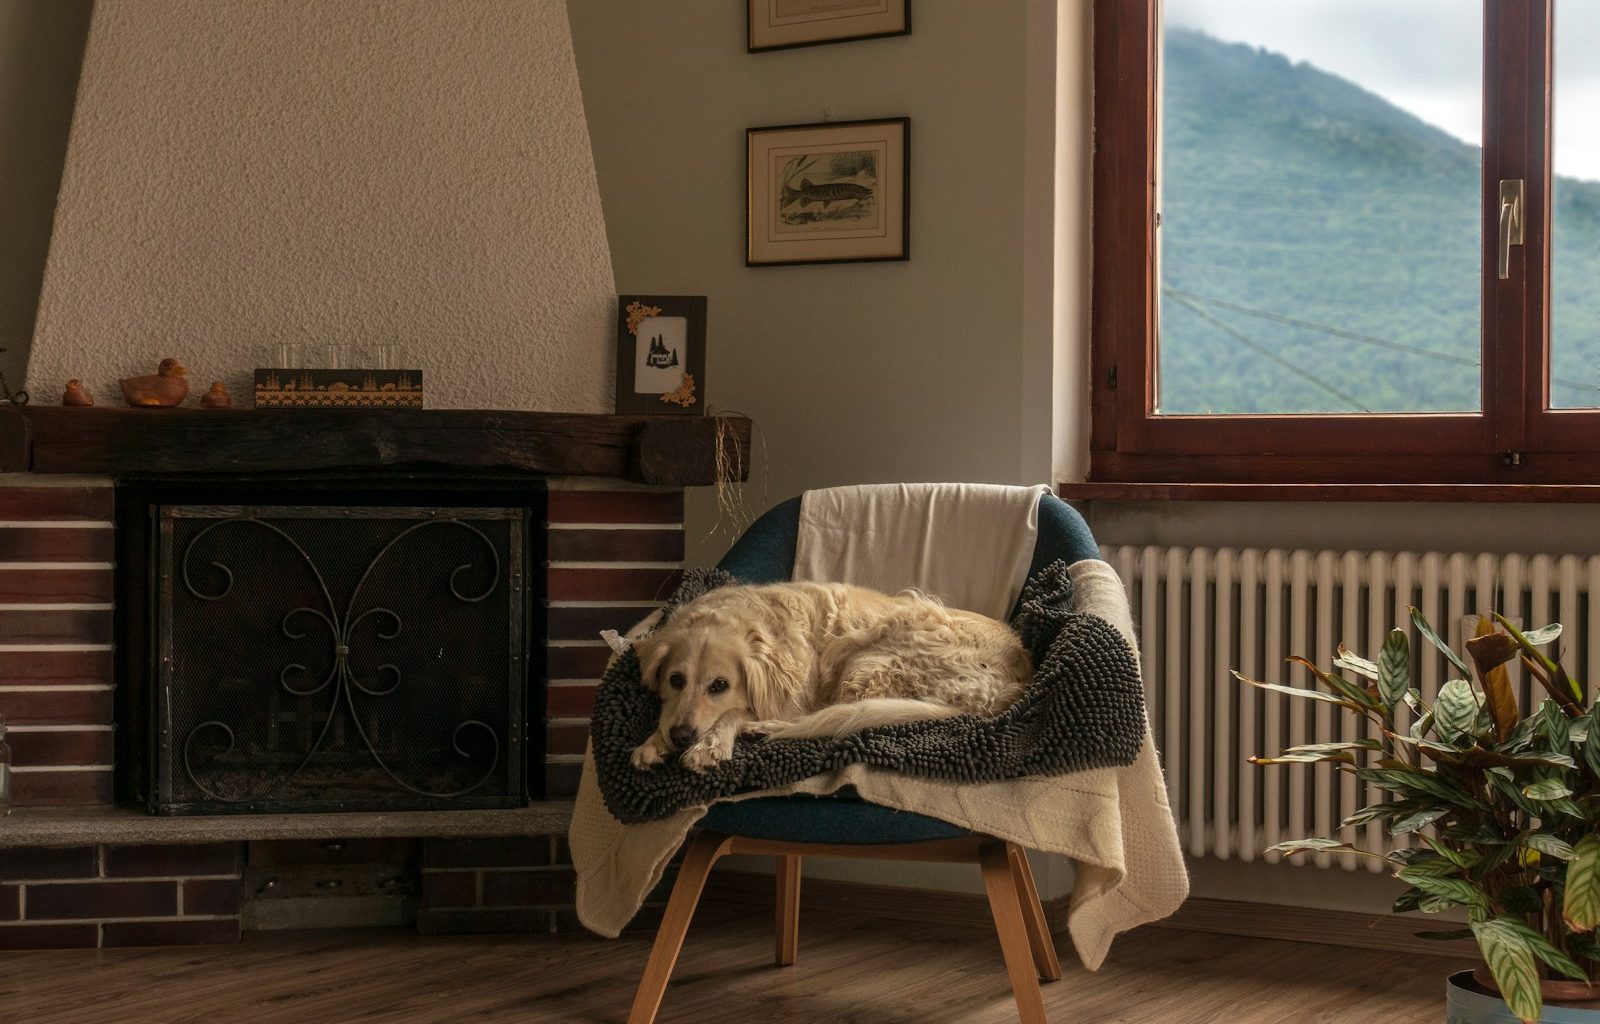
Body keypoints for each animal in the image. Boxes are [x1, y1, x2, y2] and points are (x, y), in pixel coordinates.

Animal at [630, 579, 1030, 771]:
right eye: (675, 680)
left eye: (720, 685)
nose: (681, 736)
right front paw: (652, 742)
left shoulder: (784, 699)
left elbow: (734, 712)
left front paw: (710, 744)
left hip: (868, 661)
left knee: (827, 719)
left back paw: (764, 728)